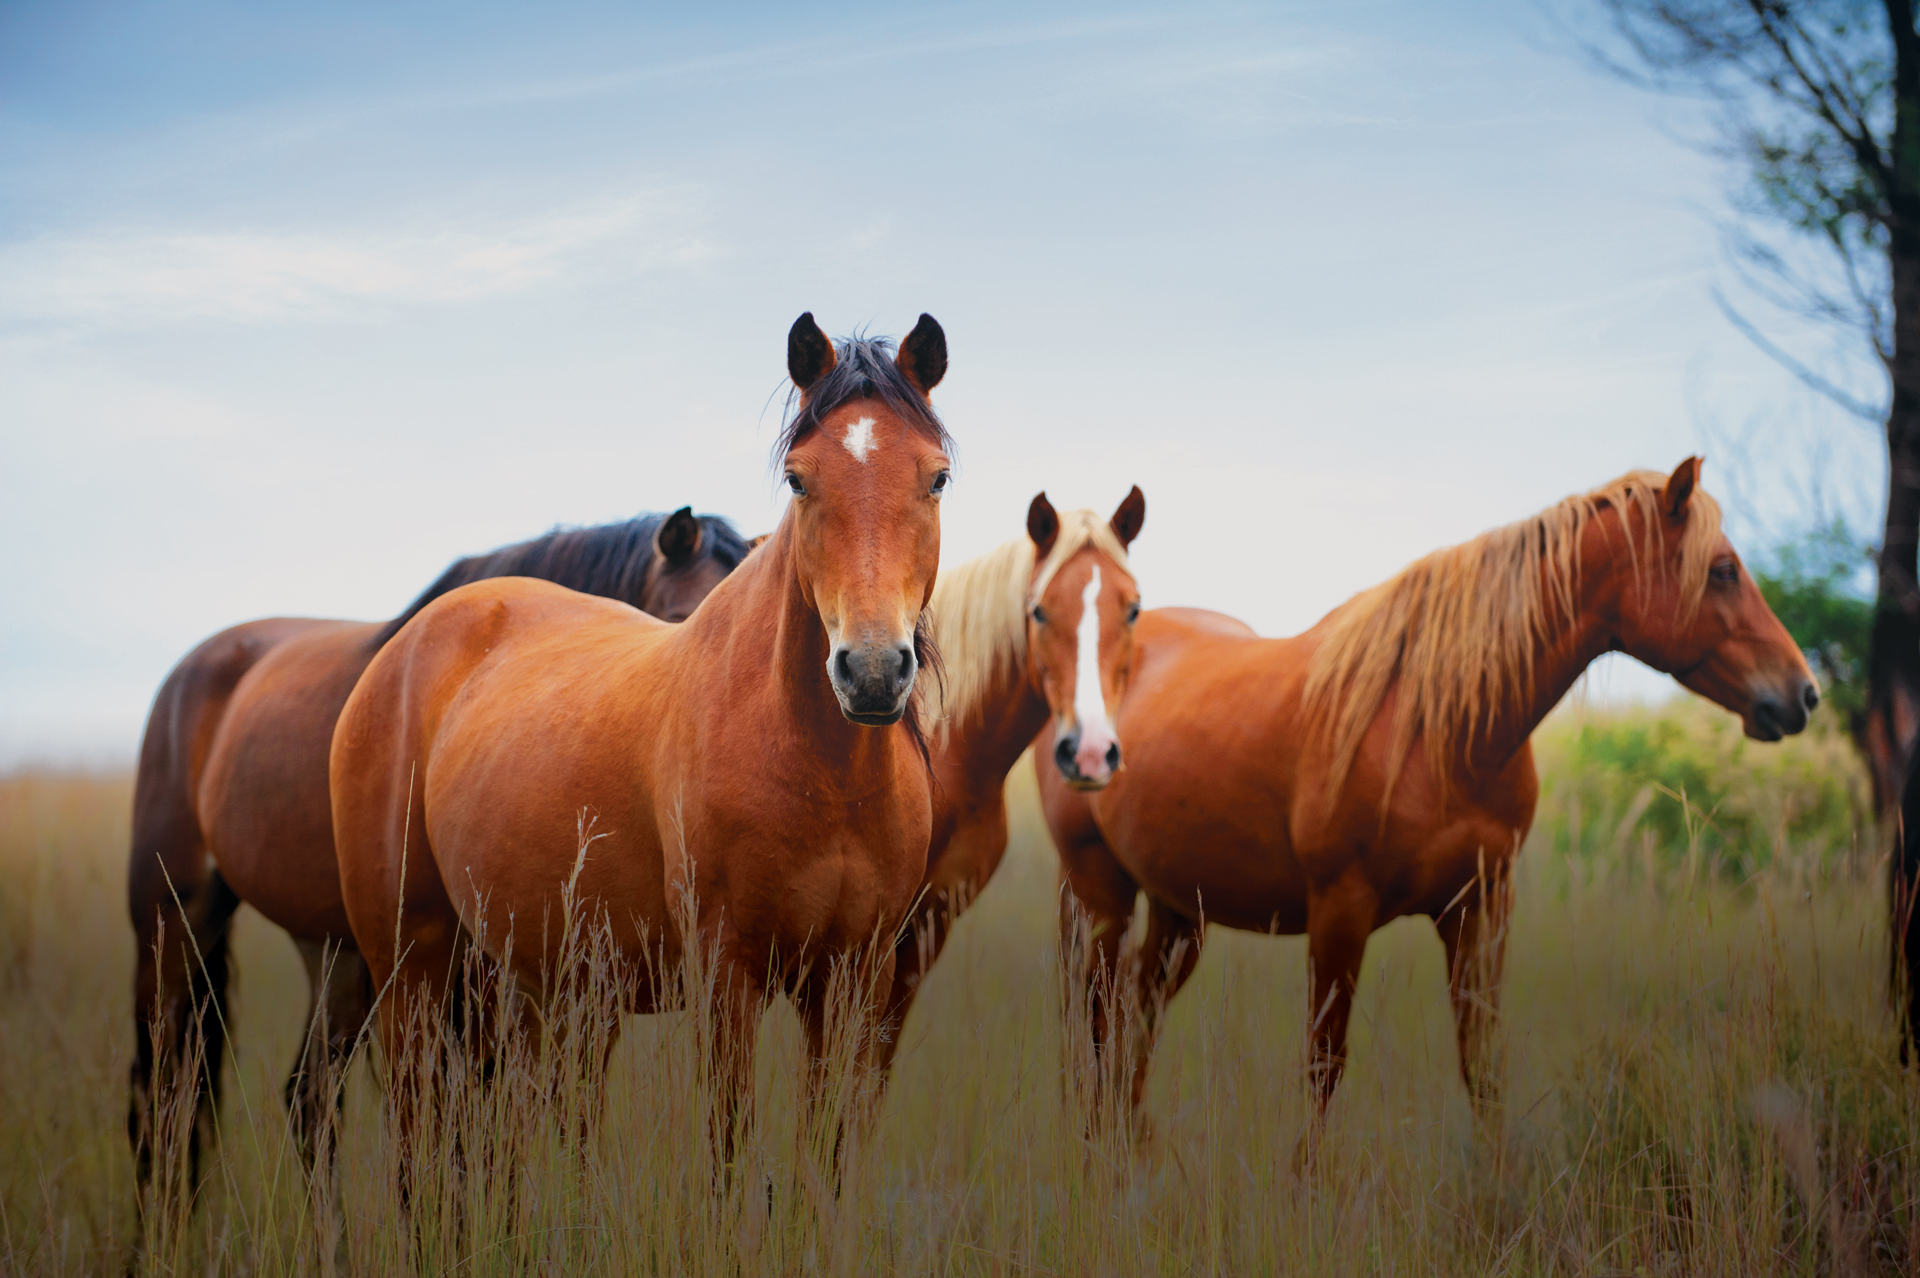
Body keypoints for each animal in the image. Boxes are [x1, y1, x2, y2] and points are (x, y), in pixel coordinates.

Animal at [329, 314, 952, 1183]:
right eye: (799, 480)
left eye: (937, 479)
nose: (869, 670)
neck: (823, 775)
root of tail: (406, 644)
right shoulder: (728, 975)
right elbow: (731, 1155)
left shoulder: (855, 976)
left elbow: (824, 1160)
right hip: (410, 967)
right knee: (421, 1130)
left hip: (531, 984)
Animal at [1037, 459, 1818, 1125]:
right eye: (1723, 570)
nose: (1802, 693)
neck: (1438, 729)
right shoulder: (1341, 913)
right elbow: (1324, 1068)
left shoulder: (1479, 910)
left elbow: (1483, 1067)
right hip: (1102, 896)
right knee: (1098, 1020)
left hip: (1179, 911)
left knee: (1136, 1020)